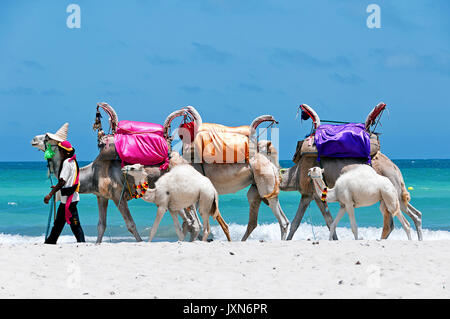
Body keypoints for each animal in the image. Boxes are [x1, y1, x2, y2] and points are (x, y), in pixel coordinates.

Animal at [163, 106, 290, 241]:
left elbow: (194, 221)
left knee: (282, 220)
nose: (185, 109)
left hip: (266, 183)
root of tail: (271, 165)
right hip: (257, 187)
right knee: (256, 218)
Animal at [280, 104, 424, 241]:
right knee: (413, 215)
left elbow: (326, 221)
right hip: (395, 193)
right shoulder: (306, 195)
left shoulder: (313, 193)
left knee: (396, 220)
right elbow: (298, 222)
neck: (297, 171)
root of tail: (395, 168)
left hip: (392, 191)